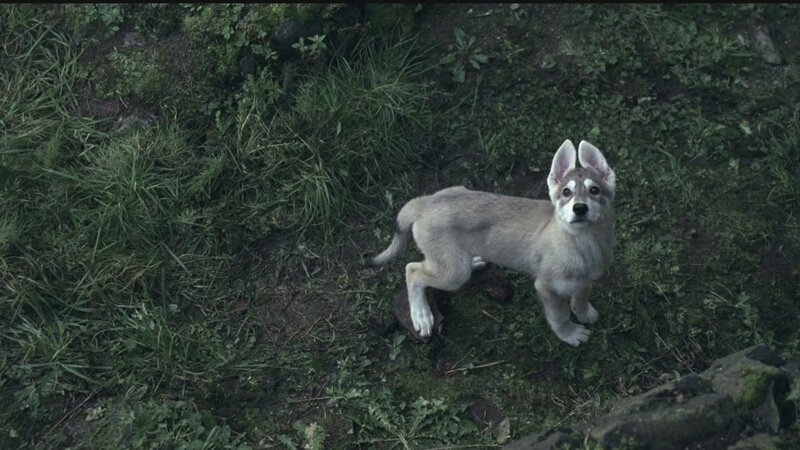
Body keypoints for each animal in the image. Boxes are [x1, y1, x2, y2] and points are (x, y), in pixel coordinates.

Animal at [372, 140, 615, 346]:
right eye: (566, 192)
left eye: (595, 190)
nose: (580, 208)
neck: (583, 243)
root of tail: (424, 202)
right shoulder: (546, 288)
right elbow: (560, 316)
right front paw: (571, 334)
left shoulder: (586, 279)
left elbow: (581, 296)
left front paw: (585, 313)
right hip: (452, 273)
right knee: (412, 270)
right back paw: (421, 315)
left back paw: (476, 261)